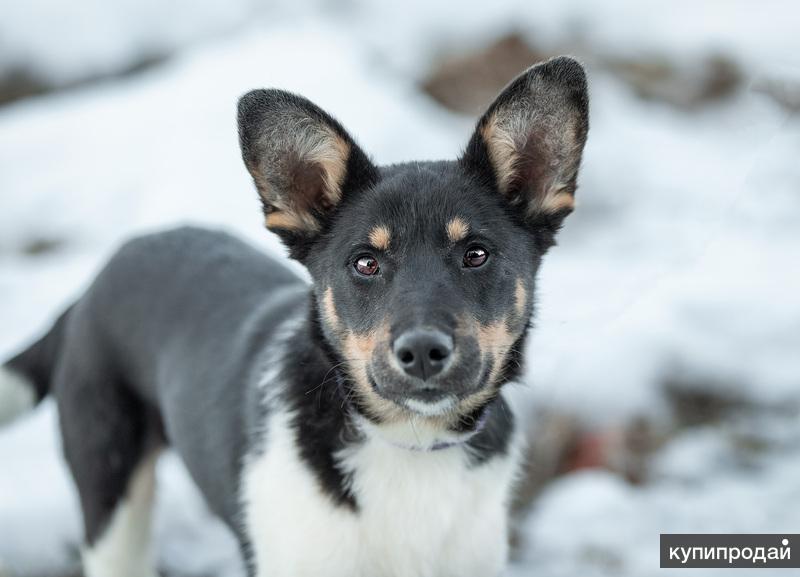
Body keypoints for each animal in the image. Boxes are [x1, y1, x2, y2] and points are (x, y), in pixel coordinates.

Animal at [0, 57, 588, 576]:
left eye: (476, 255)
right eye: (365, 262)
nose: (422, 352)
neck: (410, 443)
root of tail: (91, 285)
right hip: (109, 492)